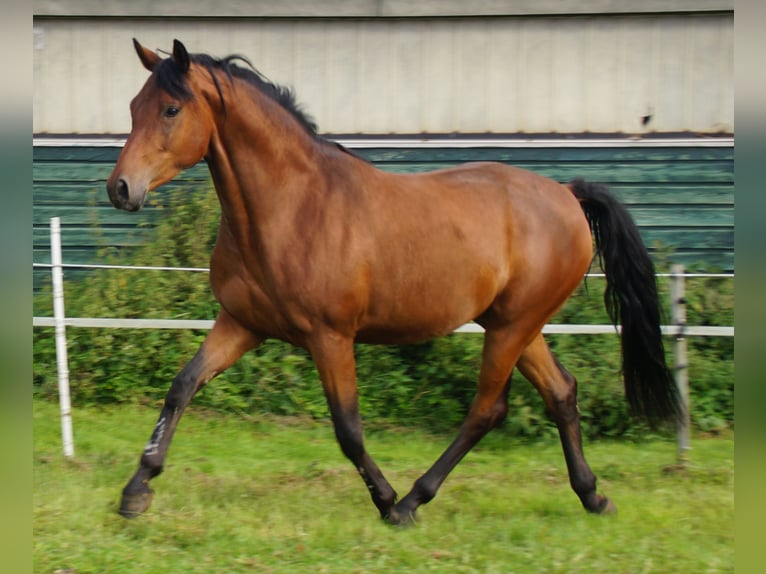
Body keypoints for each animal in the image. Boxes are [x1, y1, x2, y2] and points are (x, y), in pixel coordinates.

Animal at [107, 39, 680, 525]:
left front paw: (384, 501)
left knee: (487, 409)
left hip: (512, 327)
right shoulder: (242, 324)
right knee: (560, 392)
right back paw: (592, 495)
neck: (293, 207)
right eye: (133, 105)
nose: (121, 189)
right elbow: (181, 389)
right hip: (518, 325)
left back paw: (412, 501)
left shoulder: (330, 337)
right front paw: (136, 491)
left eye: (171, 109)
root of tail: (566, 194)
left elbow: (348, 429)